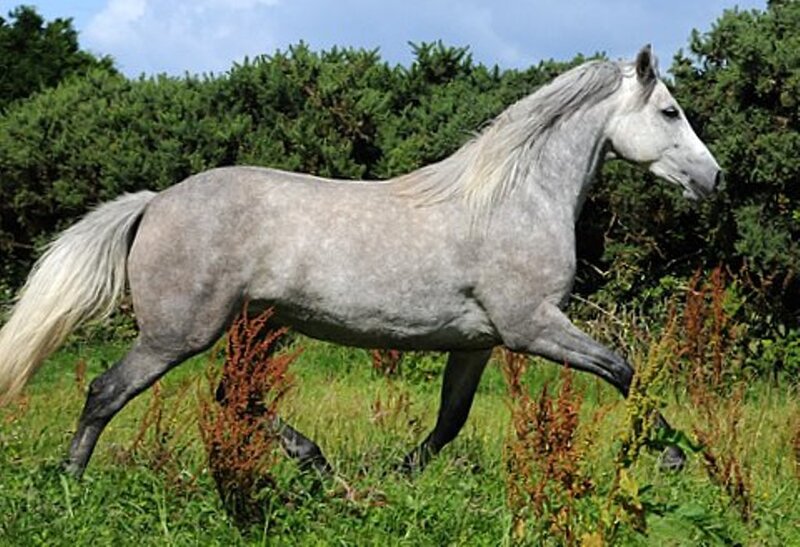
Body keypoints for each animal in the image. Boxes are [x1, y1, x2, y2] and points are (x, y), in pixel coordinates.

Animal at [0, 45, 721, 477]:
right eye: (670, 111)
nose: (713, 178)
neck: (513, 197)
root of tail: (154, 202)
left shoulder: (479, 341)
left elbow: (451, 419)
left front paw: (402, 475)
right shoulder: (532, 326)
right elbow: (625, 370)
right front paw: (671, 457)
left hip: (254, 326)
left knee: (235, 395)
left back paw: (315, 464)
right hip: (179, 332)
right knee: (108, 391)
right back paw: (71, 481)